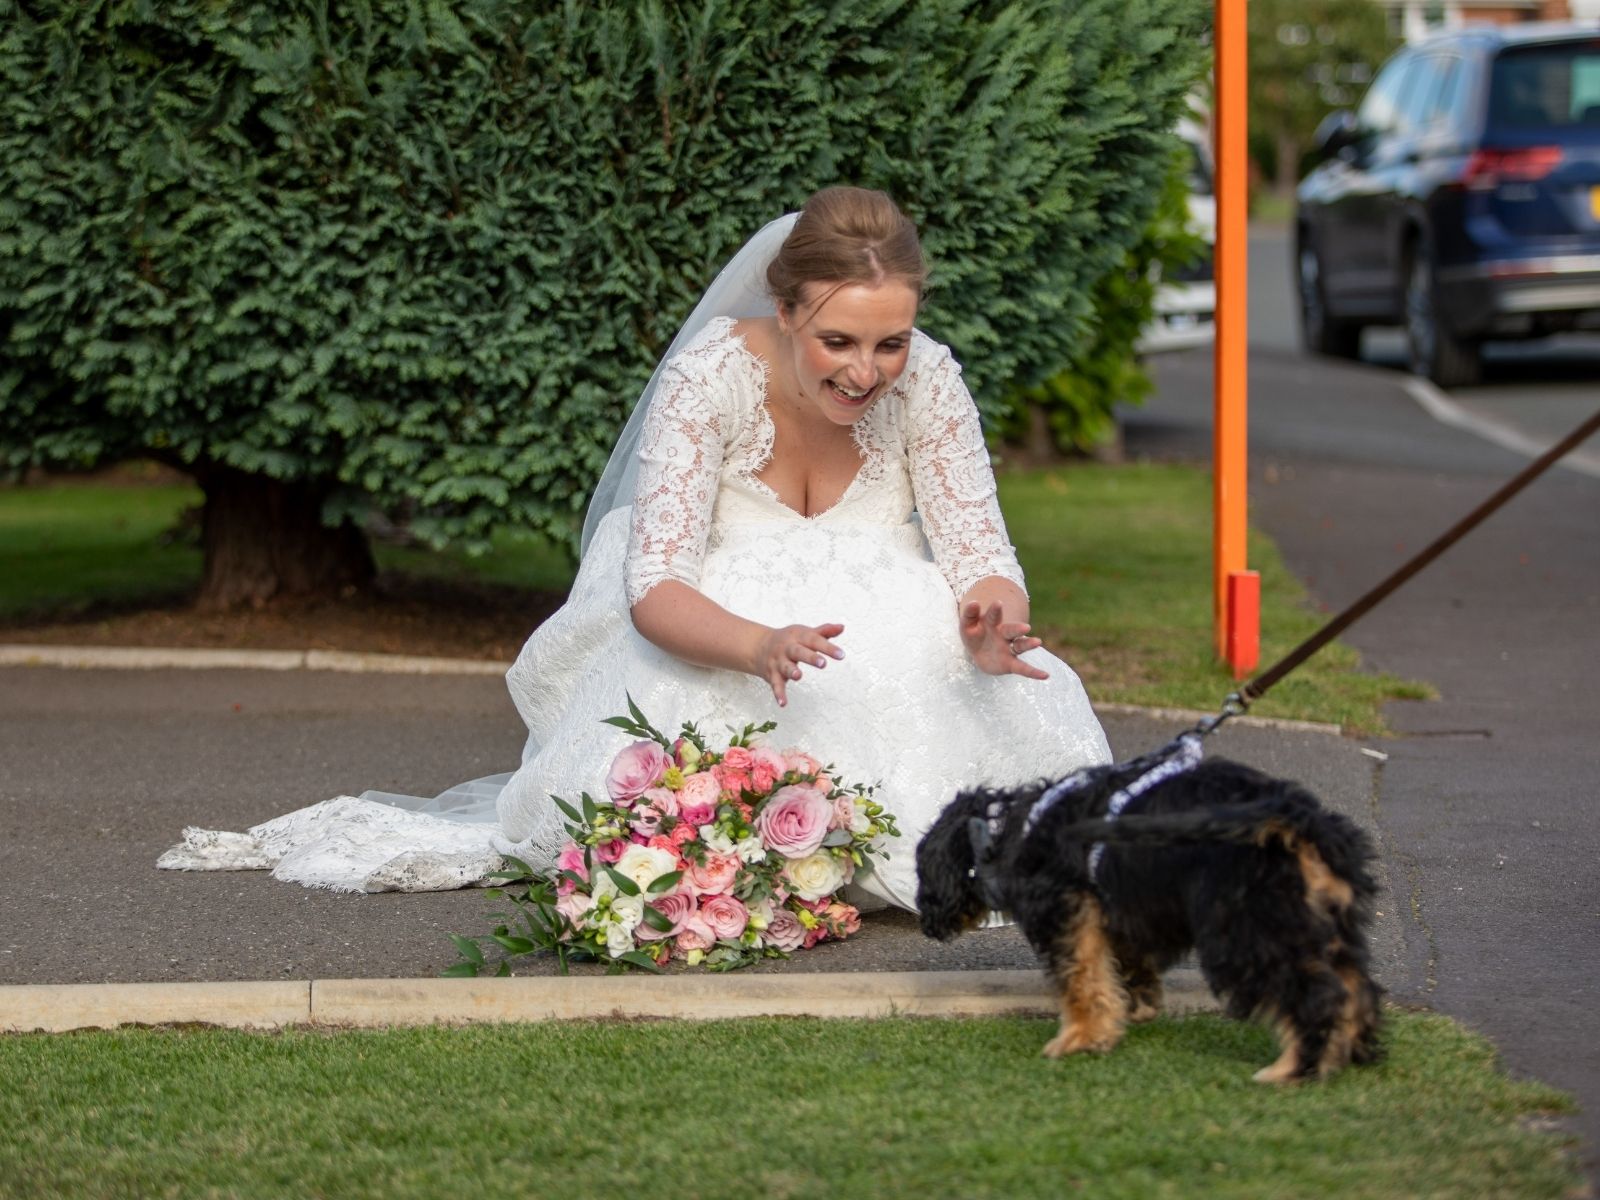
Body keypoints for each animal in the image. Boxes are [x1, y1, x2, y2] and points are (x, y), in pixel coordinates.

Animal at [921, 755, 1382, 1088]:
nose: (928, 925)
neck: (1008, 829)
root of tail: (1299, 821)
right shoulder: (1116, 908)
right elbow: (1125, 961)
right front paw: (1136, 1005)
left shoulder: (1067, 911)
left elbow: (1082, 978)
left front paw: (1082, 1038)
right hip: (1321, 922)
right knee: (1354, 985)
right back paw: (1352, 1051)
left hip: (1244, 928)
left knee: (1315, 993)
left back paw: (1296, 1069)